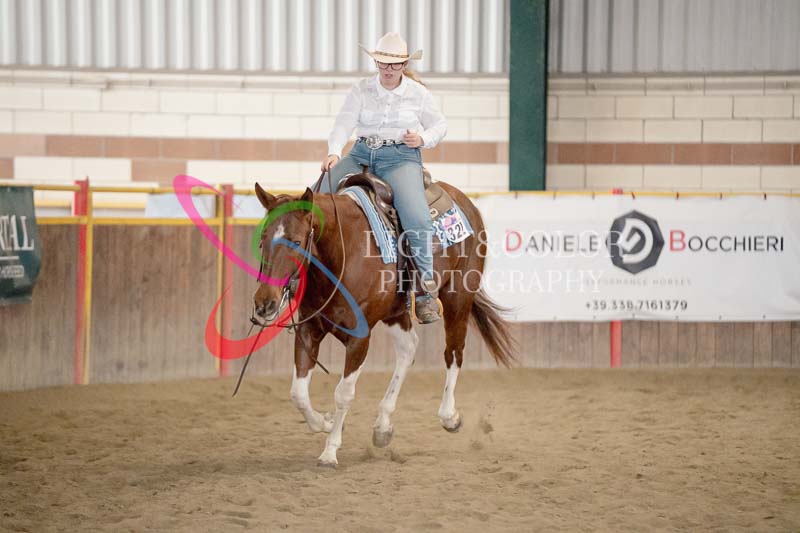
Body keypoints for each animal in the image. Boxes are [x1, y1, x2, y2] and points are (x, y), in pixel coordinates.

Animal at [252, 177, 516, 467]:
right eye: (263, 240)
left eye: (297, 241)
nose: (265, 303)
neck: (343, 253)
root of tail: (464, 199)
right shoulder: (309, 329)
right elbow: (298, 393)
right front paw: (326, 422)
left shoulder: (359, 338)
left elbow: (344, 393)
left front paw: (330, 450)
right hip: (395, 313)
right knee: (408, 348)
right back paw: (382, 426)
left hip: (458, 298)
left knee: (454, 353)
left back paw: (449, 416)